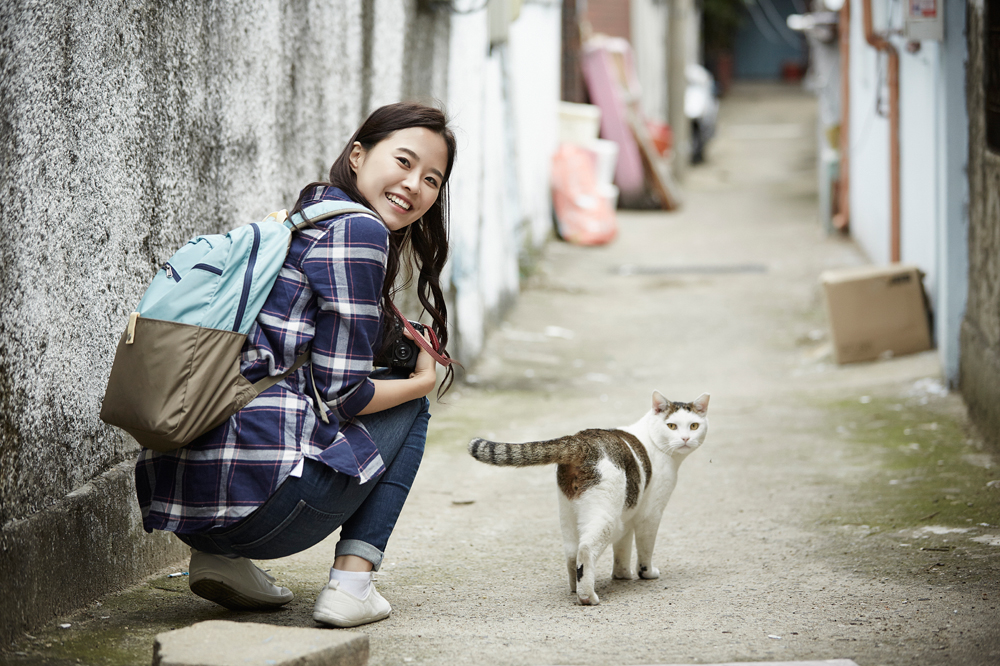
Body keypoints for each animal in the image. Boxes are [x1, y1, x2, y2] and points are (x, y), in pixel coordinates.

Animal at [470, 392, 712, 604]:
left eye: (694, 426)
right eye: (671, 426)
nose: (685, 438)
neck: (653, 440)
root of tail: (580, 440)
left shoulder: (627, 513)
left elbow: (622, 548)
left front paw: (622, 574)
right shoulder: (650, 514)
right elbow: (645, 548)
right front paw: (646, 573)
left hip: (569, 512)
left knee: (571, 552)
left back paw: (575, 588)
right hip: (604, 515)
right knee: (586, 549)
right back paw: (587, 596)